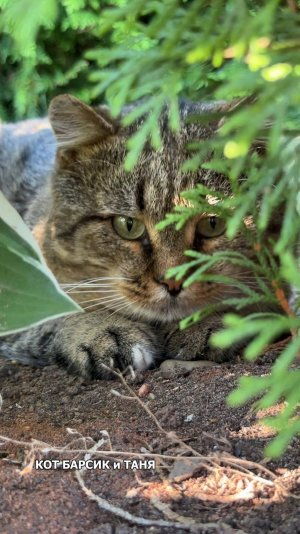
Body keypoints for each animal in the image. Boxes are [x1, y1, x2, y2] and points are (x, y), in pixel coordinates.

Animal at [0, 96, 284, 382]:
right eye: (128, 225)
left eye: (213, 223)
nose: (172, 281)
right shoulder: (22, 288)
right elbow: (54, 314)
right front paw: (101, 329)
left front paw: (209, 321)